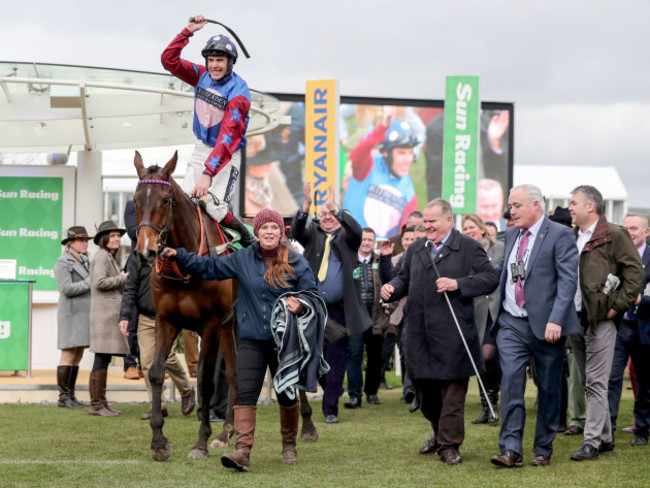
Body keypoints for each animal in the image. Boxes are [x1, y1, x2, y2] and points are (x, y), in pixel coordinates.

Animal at [132, 152, 235, 462]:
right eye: (135, 200)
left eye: (166, 200)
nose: (145, 251)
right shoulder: (167, 319)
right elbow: (155, 373)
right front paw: (159, 441)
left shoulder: (210, 325)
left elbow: (205, 380)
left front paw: (200, 442)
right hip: (230, 328)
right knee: (235, 374)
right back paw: (226, 432)